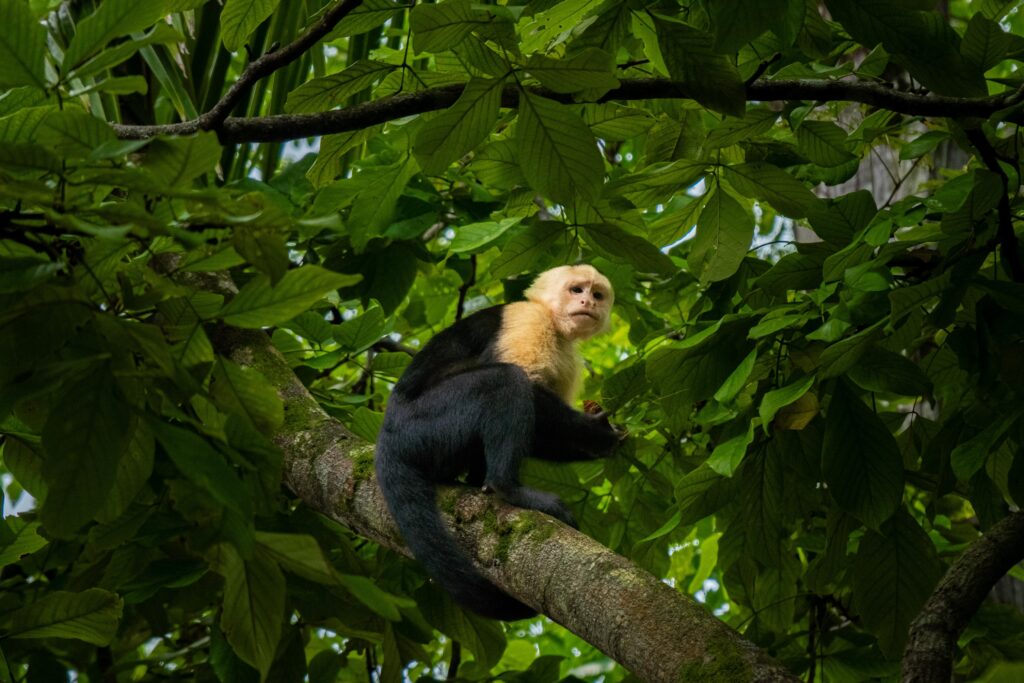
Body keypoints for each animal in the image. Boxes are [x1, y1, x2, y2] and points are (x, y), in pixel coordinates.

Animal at [374, 264, 622, 620]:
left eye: (597, 294)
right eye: (576, 290)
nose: (587, 301)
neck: (553, 322)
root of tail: (387, 437)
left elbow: (539, 431)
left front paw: (605, 443)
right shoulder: (527, 319)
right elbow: (528, 384)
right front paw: (598, 433)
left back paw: (478, 480)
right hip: (420, 427)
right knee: (505, 380)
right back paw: (506, 487)